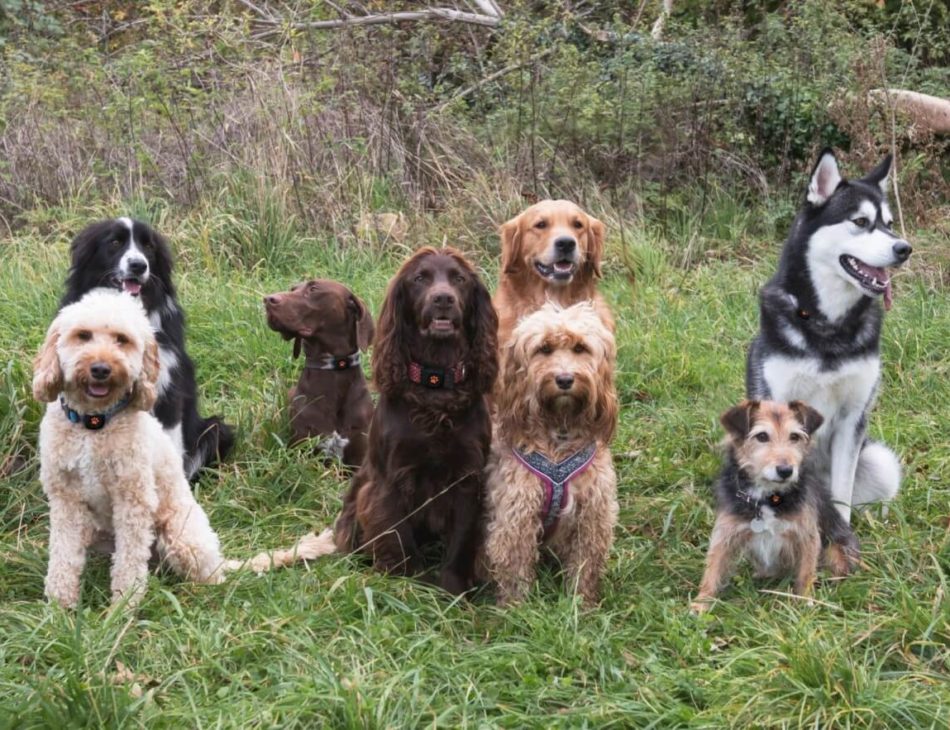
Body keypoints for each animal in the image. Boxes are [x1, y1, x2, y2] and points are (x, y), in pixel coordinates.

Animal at [33, 288, 227, 604]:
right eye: (83, 335)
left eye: (121, 339)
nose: (101, 368)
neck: (93, 424)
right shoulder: (66, 500)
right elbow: (63, 556)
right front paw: (60, 605)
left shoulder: (133, 500)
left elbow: (130, 561)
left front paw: (124, 604)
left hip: (181, 535)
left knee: (209, 573)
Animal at [488, 302, 620, 604]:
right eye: (544, 349)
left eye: (580, 348)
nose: (564, 379)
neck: (559, 429)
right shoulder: (517, 514)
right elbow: (515, 568)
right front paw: (516, 608)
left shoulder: (592, 513)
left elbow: (585, 565)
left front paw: (580, 604)